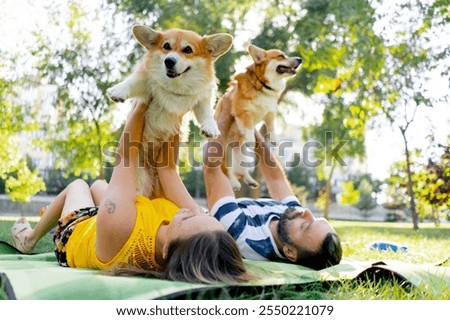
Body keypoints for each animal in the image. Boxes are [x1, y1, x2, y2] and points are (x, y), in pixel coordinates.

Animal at [106, 25, 232, 195]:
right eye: (166, 46)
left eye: (188, 49)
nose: (169, 61)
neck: (175, 87)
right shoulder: (146, 81)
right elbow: (133, 82)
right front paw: (118, 91)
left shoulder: (201, 98)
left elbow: (206, 112)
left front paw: (211, 127)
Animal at [215, 45, 300, 190]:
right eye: (281, 56)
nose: (300, 59)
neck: (262, 86)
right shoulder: (244, 112)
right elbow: (248, 128)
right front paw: (250, 139)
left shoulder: (270, 112)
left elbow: (271, 126)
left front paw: (275, 139)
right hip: (226, 155)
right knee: (227, 171)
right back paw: (234, 182)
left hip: (244, 156)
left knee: (243, 171)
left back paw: (250, 181)